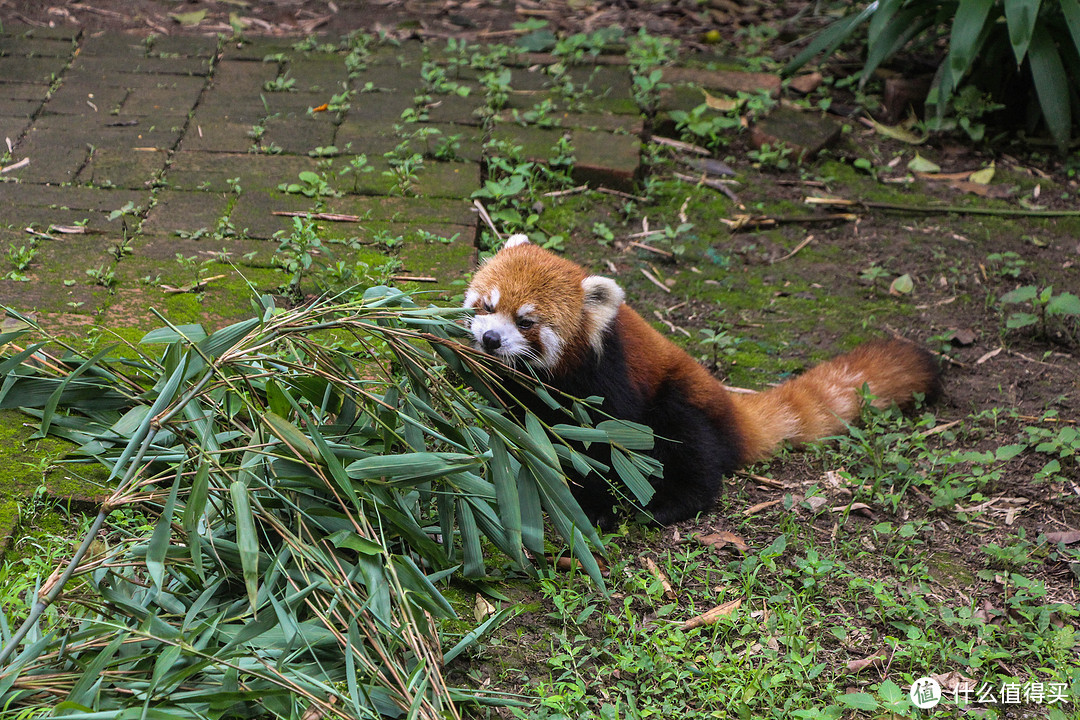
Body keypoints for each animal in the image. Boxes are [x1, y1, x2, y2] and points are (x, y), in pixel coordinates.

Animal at [468, 235, 941, 524]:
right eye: (487, 306)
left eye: (526, 322)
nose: (491, 340)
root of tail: (732, 407)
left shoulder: (608, 381)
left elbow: (606, 444)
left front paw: (596, 506)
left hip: (681, 400)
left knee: (689, 448)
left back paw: (669, 504)